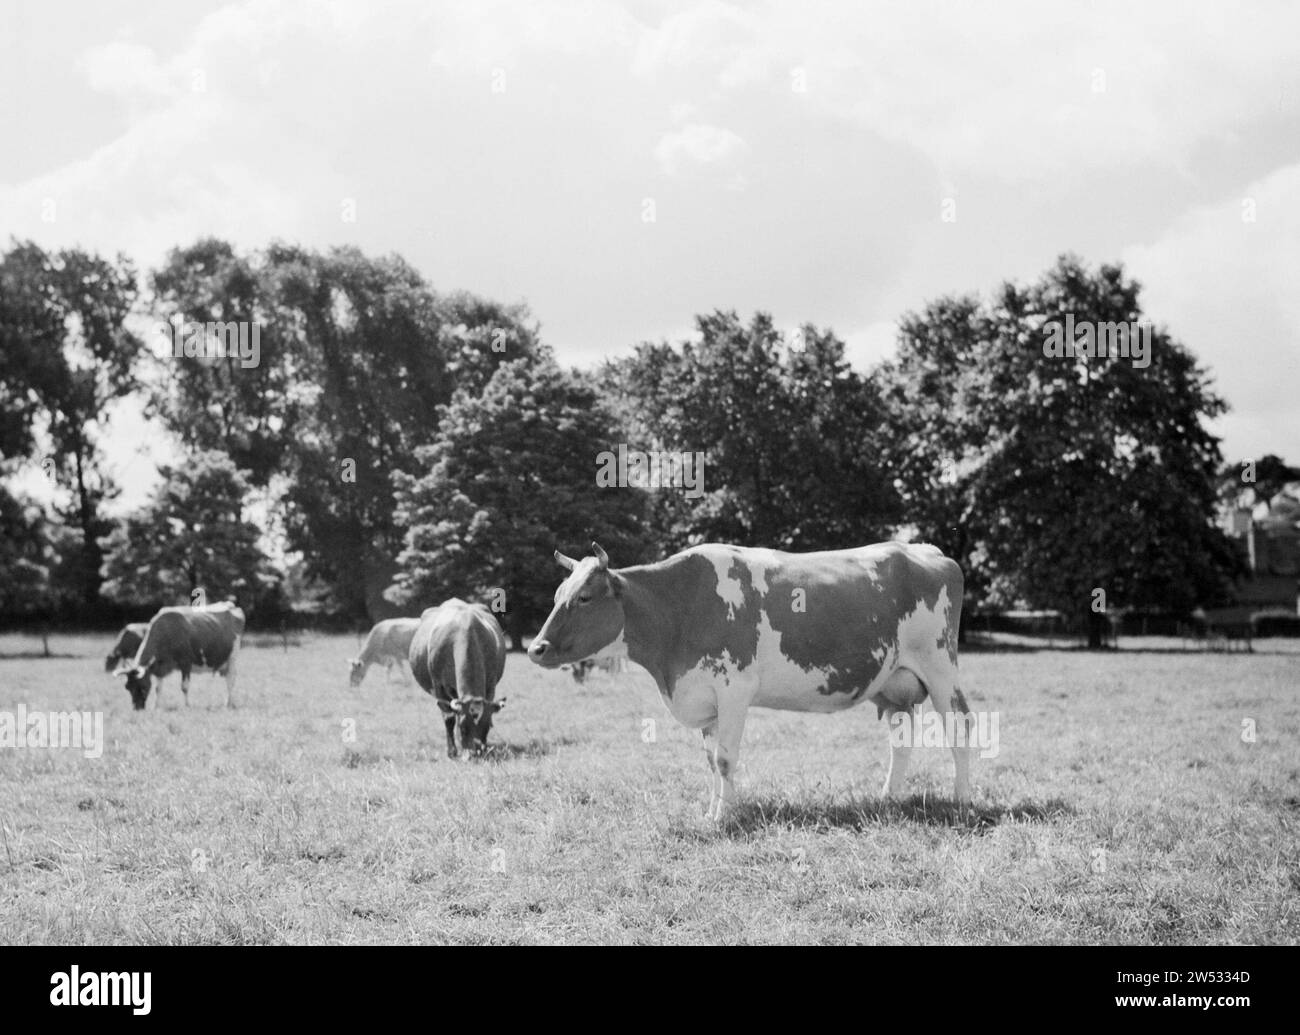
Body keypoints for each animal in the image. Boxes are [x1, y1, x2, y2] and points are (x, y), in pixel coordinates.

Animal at [114, 598, 245, 712]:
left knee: (231, 679)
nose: (137, 709)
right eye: (127, 687)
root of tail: (231, 605)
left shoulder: (186, 662)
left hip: (232, 657)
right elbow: (158, 688)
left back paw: (228, 704)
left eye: (142, 687)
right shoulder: (159, 666)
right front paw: (156, 707)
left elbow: (184, 686)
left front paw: (186, 706)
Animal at [405, 598, 506, 759]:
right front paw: (452, 751)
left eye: (487, 727)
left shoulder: (490, 685)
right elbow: (449, 718)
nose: (476, 753)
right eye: (463, 728)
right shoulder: (439, 686)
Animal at [530, 540, 977, 816]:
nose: (536, 648)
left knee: (960, 728)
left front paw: (724, 817)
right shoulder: (704, 695)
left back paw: (962, 800)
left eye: (584, 597)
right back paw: (889, 797)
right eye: (556, 596)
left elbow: (725, 759)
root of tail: (924, 550)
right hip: (894, 682)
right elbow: (711, 761)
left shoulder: (733, 690)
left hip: (940, 666)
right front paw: (711, 811)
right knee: (901, 739)